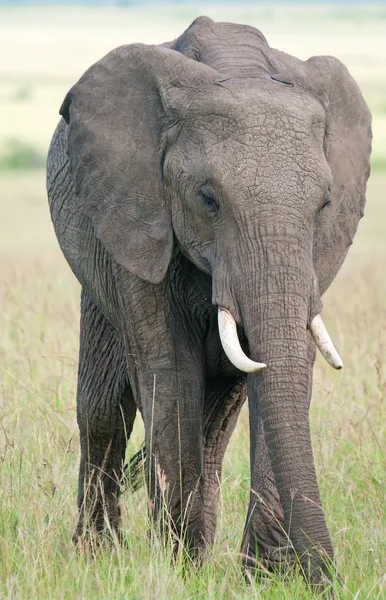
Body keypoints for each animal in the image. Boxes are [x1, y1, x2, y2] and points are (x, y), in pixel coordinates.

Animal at [46, 15, 370, 592]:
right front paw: (181, 569)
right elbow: (169, 371)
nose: (329, 581)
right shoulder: (137, 212)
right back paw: (97, 555)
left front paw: (265, 577)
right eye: (208, 199)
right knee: (105, 408)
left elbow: (281, 368)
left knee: (216, 419)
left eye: (325, 205)